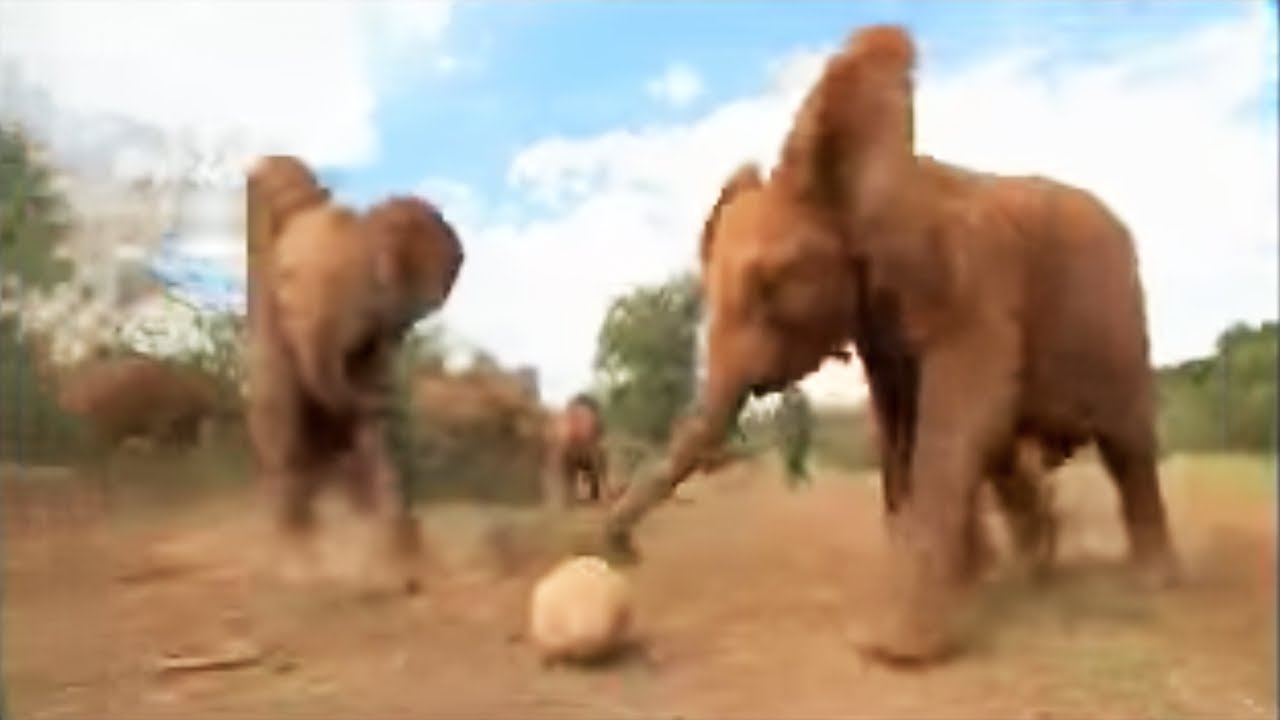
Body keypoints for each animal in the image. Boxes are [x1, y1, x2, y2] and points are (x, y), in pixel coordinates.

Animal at [244, 155, 464, 594]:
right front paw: (304, 578)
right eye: (285, 281)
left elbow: (380, 434)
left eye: (375, 281)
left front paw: (399, 578)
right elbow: (284, 421)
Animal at [600, 24, 1179, 664]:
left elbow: (960, 420)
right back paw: (1033, 577)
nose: (624, 552)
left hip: (1123, 321)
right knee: (1016, 456)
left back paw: (1149, 584)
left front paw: (893, 649)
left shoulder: (971, 285)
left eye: (772, 285)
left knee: (1127, 448)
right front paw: (959, 593)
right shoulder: (881, 325)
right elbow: (899, 426)